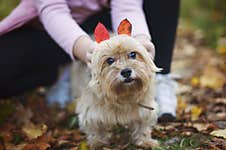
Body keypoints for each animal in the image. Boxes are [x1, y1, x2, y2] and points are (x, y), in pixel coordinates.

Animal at [74, 19, 161, 149]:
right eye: (110, 60)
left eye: (133, 54)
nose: (126, 72)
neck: (123, 94)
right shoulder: (91, 110)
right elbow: (95, 128)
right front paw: (98, 142)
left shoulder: (144, 109)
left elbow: (142, 126)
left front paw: (145, 141)